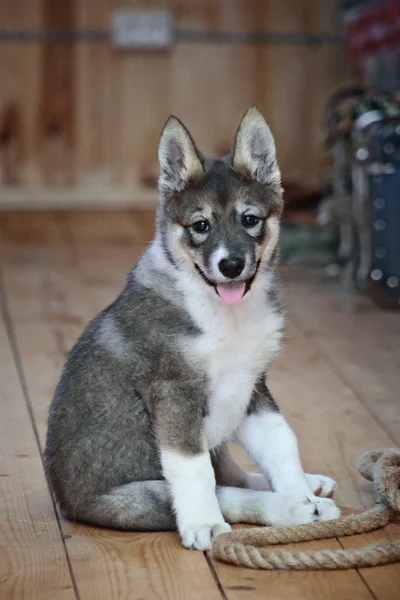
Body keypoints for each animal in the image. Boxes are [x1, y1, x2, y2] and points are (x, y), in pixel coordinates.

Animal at [45, 106, 340, 548]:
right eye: (201, 226)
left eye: (250, 219)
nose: (231, 265)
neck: (223, 313)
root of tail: (65, 502)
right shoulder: (174, 393)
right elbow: (195, 469)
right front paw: (204, 523)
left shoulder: (252, 386)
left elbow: (281, 445)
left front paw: (301, 491)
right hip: (141, 493)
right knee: (225, 489)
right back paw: (284, 509)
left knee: (233, 475)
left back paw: (312, 490)